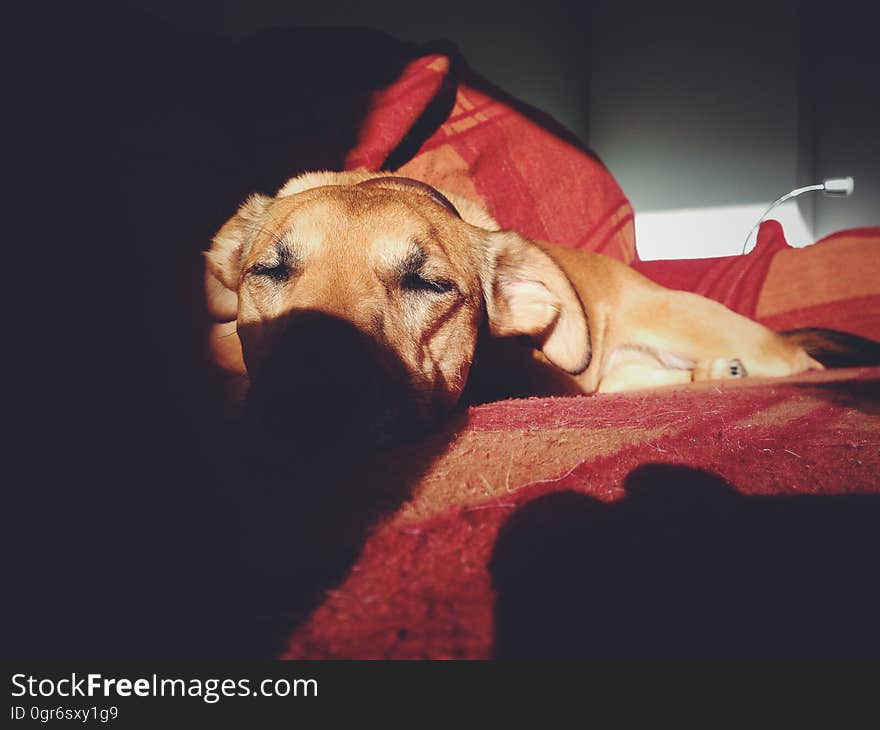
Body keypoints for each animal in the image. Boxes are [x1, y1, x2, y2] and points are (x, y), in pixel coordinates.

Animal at [203, 171, 820, 444]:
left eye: (430, 284)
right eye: (268, 271)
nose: (310, 388)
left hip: (704, 325)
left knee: (804, 364)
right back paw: (716, 373)